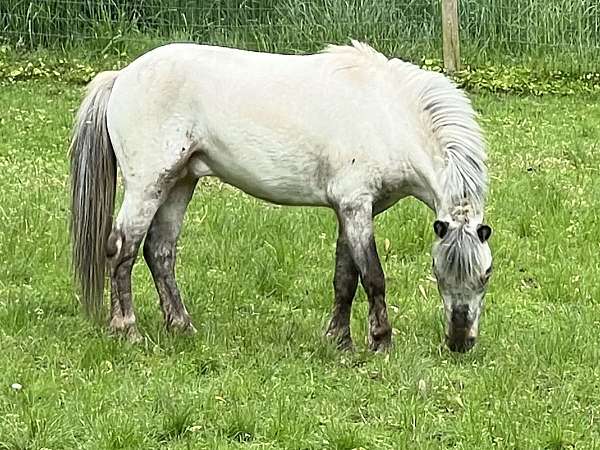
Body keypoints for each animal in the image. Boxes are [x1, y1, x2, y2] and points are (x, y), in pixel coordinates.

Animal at [70, 41, 492, 352]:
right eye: (438, 269)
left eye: (486, 273)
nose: (460, 342)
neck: (387, 115)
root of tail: (122, 77)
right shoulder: (356, 207)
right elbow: (373, 276)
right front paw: (380, 343)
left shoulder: (350, 210)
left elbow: (345, 278)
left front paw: (338, 341)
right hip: (148, 185)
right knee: (121, 249)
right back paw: (127, 330)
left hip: (180, 182)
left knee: (159, 251)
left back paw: (181, 326)